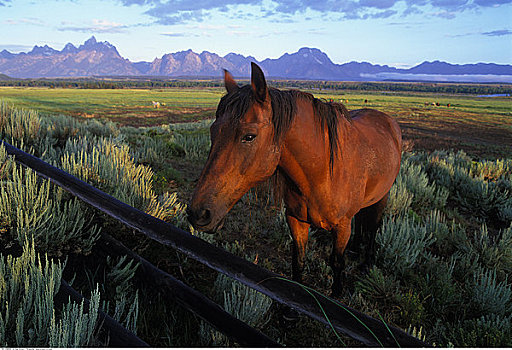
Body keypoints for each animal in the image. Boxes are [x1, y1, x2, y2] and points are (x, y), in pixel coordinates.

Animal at [188, 63, 404, 296]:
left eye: (249, 136)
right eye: (213, 130)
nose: (198, 213)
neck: (321, 174)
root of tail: (388, 121)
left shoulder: (341, 227)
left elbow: (337, 263)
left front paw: (337, 294)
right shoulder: (296, 220)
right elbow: (298, 261)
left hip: (382, 196)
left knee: (373, 226)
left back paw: (367, 263)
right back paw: (355, 248)